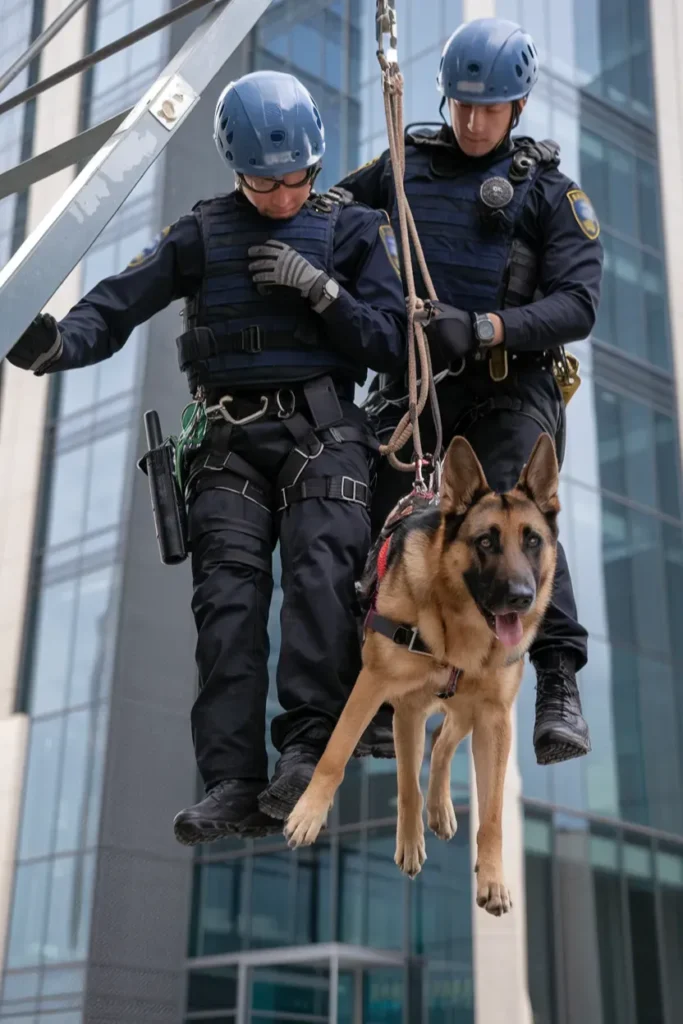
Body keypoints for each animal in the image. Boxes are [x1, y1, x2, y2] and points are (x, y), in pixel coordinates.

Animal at [286, 428, 557, 917]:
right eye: (485, 542)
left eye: (532, 541)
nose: (521, 598)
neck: (458, 631)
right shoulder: (383, 693)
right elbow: (344, 757)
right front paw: (309, 815)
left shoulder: (495, 719)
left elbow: (492, 814)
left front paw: (492, 877)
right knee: (429, 749)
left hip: (470, 712)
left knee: (444, 743)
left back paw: (441, 807)